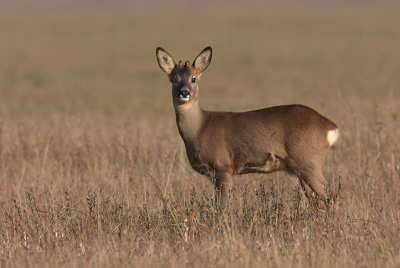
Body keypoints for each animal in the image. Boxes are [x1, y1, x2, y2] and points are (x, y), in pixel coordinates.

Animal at [156, 46, 340, 206]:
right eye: (174, 79)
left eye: (194, 79)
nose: (184, 92)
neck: (199, 128)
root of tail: (331, 127)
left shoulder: (223, 166)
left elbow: (222, 205)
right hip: (302, 167)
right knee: (316, 199)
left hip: (309, 161)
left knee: (330, 195)